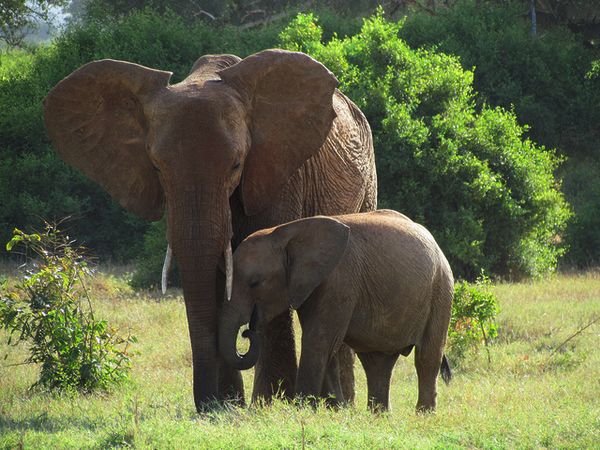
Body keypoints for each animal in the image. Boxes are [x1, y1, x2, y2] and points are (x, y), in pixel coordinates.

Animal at [44, 49, 378, 412]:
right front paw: (229, 405)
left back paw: (338, 405)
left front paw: (267, 404)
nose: (206, 406)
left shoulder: (279, 174)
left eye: (236, 165)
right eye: (157, 167)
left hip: (368, 182)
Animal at [218, 209, 452, 414]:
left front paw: (304, 409)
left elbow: (319, 340)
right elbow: (325, 344)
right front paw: (337, 410)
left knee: (426, 357)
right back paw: (379, 416)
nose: (247, 331)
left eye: (255, 283)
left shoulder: (338, 280)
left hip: (441, 290)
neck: (284, 233)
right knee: (377, 362)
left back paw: (423, 415)